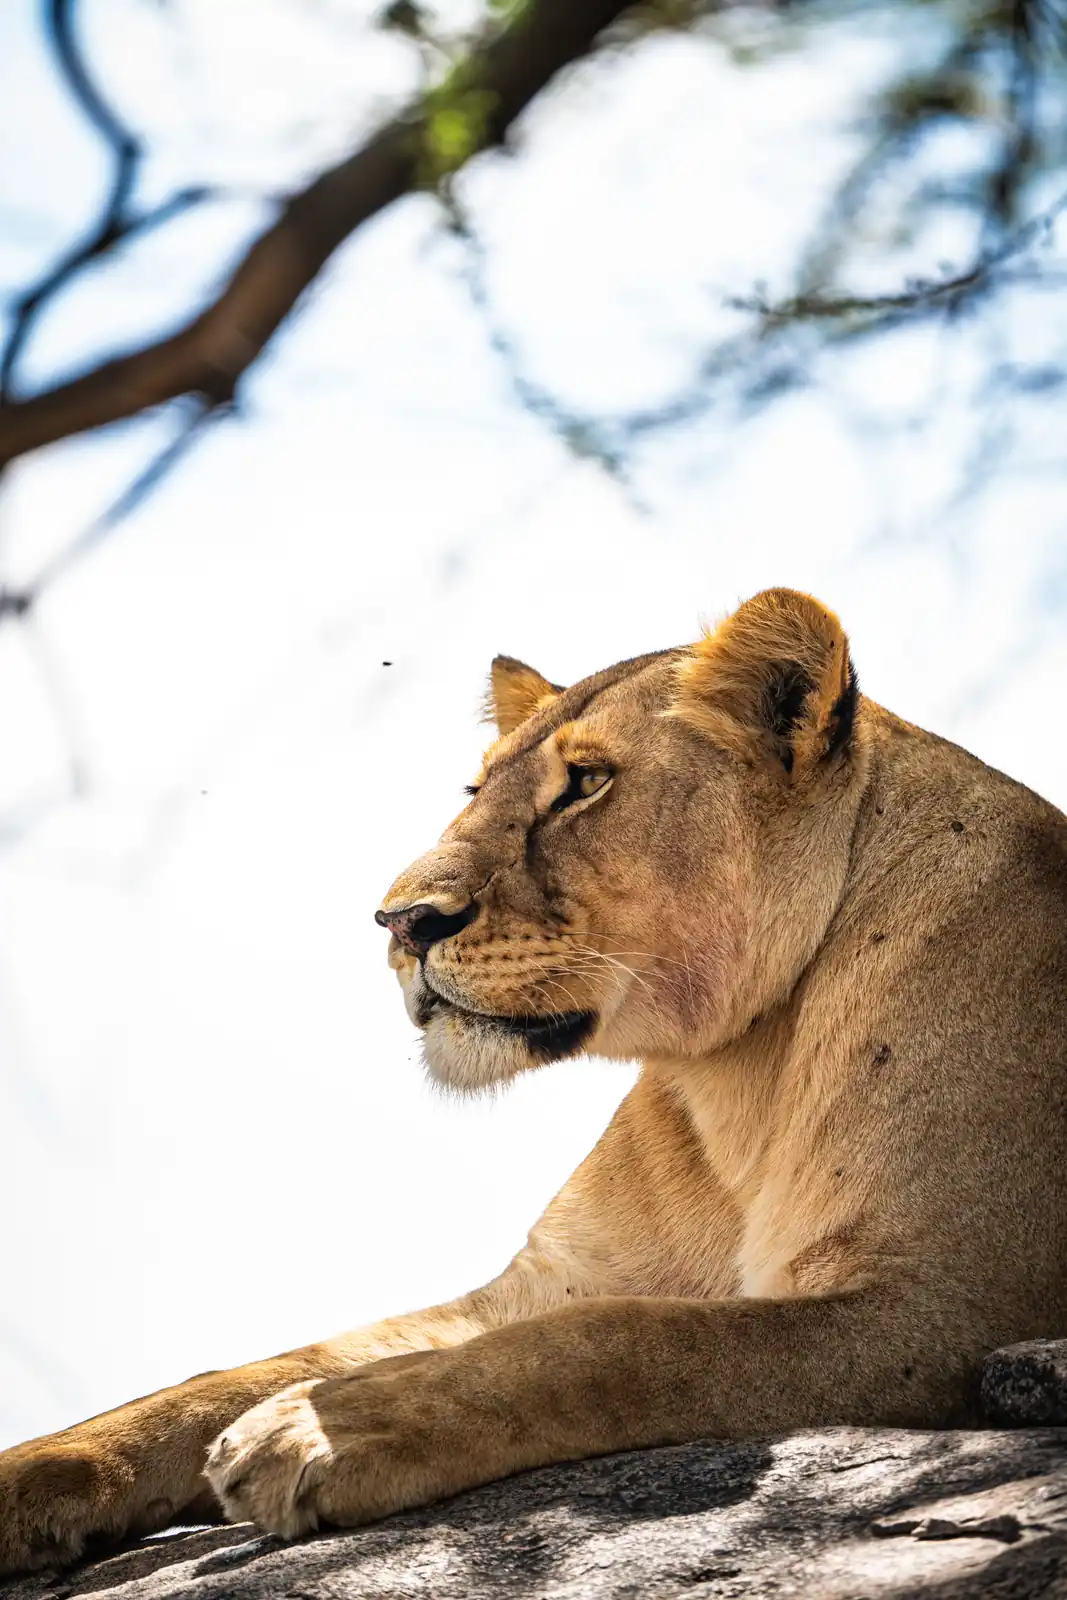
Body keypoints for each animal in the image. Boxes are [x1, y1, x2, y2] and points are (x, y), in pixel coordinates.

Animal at [3, 585, 1067, 1574]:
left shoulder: (941, 1309)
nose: (400, 923)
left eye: (583, 785)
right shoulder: (541, 1283)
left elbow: (621, 1345)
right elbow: (240, 1373)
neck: (735, 1078)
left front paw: (317, 1430)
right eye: (474, 786)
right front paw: (35, 1474)